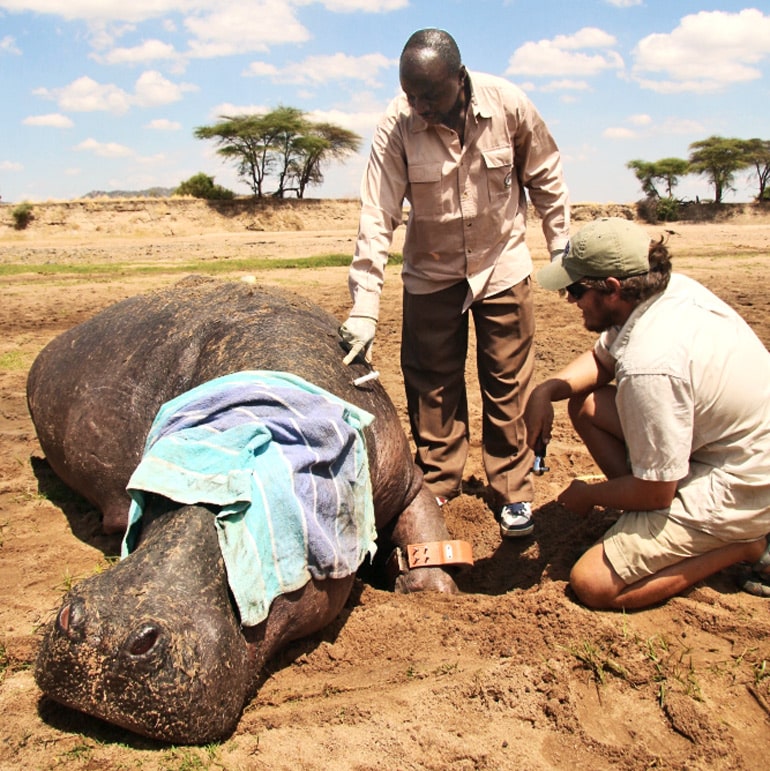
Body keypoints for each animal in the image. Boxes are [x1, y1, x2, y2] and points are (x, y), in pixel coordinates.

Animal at [28, 278, 468, 748]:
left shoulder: (403, 476)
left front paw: (433, 592)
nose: (104, 633)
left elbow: (424, 523)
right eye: (149, 493)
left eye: (257, 519)